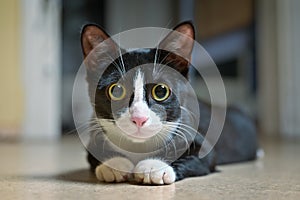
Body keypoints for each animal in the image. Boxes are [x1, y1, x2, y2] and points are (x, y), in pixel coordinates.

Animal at [79, 21, 258, 184]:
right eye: (116, 90)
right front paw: (114, 163)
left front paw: (154, 166)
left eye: (160, 91)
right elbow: (93, 154)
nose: (139, 118)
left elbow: (202, 155)